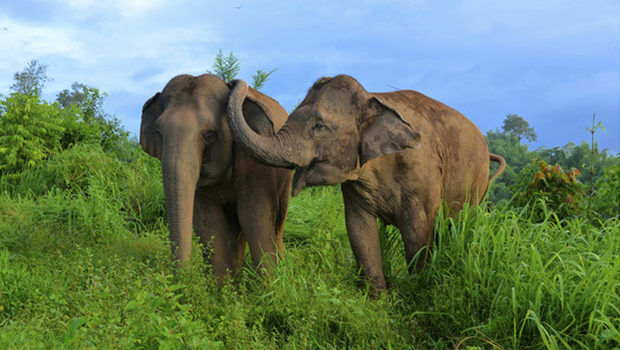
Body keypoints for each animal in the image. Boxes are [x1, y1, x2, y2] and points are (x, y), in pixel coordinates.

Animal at [140, 73, 294, 276]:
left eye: (209, 133)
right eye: (158, 133)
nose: (184, 276)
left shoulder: (258, 168)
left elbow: (254, 216)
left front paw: (271, 284)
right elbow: (207, 222)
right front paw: (223, 285)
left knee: (277, 222)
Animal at [225, 74, 506, 292]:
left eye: (318, 126)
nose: (234, 82)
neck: (375, 98)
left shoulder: (422, 174)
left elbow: (417, 233)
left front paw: (418, 292)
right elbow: (359, 230)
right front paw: (378, 300)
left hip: (476, 181)